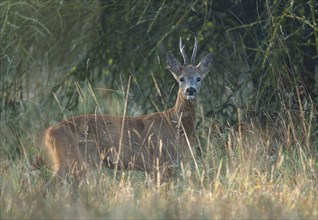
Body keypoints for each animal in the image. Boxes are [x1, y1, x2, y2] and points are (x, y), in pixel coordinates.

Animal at [44, 36, 214, 180]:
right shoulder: (160, 162)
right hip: (72, 159)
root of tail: (49, 132)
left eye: (199, 78)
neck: (175, 125)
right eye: (181, 78)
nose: (190, 90)